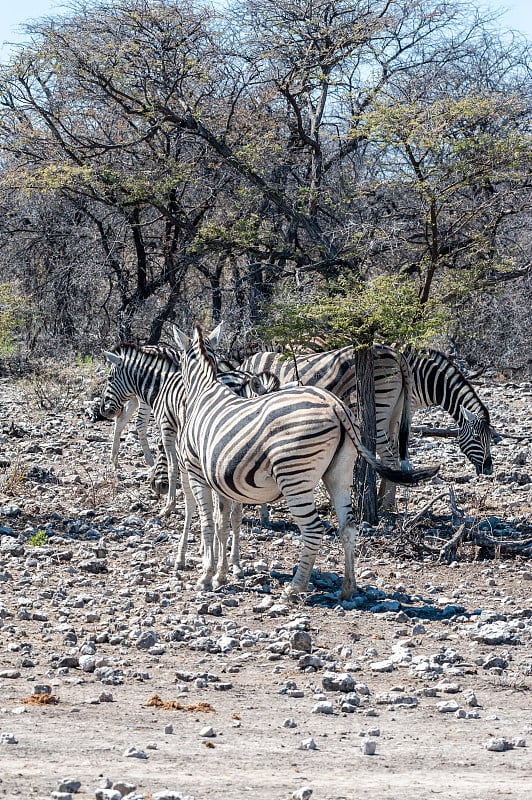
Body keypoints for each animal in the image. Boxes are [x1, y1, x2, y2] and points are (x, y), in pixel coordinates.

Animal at [177, 322, 438, 596]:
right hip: (340, 471)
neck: (205, 391)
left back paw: (295, 588)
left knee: (313, 530)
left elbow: (207, 523)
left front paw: (207, 577)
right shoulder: (219, 476)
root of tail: (335, 405)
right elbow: (222, 523)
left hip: (294, 475)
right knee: (348, 526)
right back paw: (348, 588)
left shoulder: (197, 472)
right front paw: (221, 575)